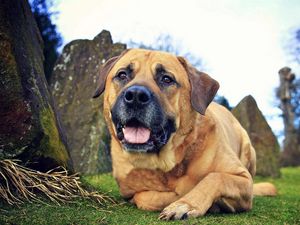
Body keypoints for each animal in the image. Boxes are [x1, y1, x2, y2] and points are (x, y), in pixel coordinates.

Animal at [92, 48, 276, 220]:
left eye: (167, 79)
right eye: (122, 75)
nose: (136, 96)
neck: (167, 165)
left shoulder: (244, 179)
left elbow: (215, 178)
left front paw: (185, 204)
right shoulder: (129, 190)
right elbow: (145, 197)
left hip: (248, 149)